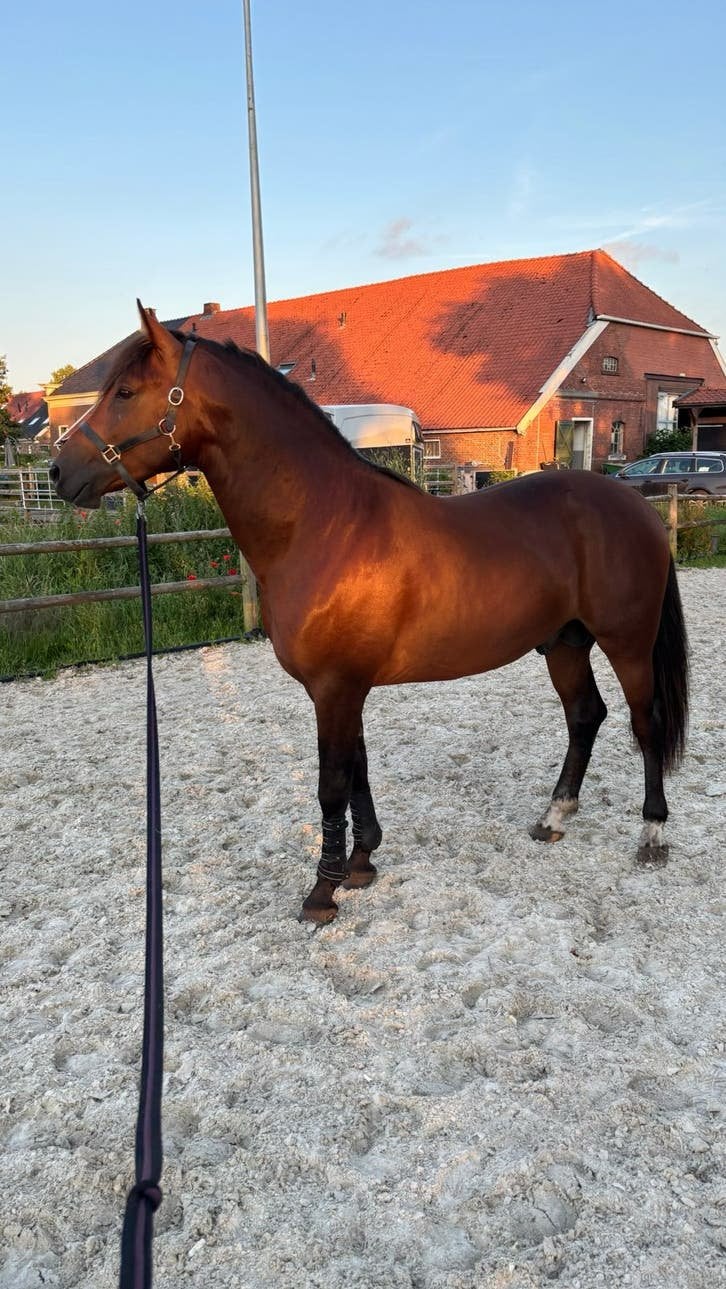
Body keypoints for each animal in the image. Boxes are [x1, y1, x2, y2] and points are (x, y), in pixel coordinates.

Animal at [51, 303, 689, 924]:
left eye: (126, 392)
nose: (59, 472)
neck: (323, 523)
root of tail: (634, 503)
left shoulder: (335, 686)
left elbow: (332, 784)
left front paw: (322, 891)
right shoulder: (344, 686)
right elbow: (357, 768)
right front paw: (360, 862)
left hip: (627, 643)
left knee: (645, 722)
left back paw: (653, 832)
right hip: (565, 642)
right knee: (585, 716)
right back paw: (554, 818)